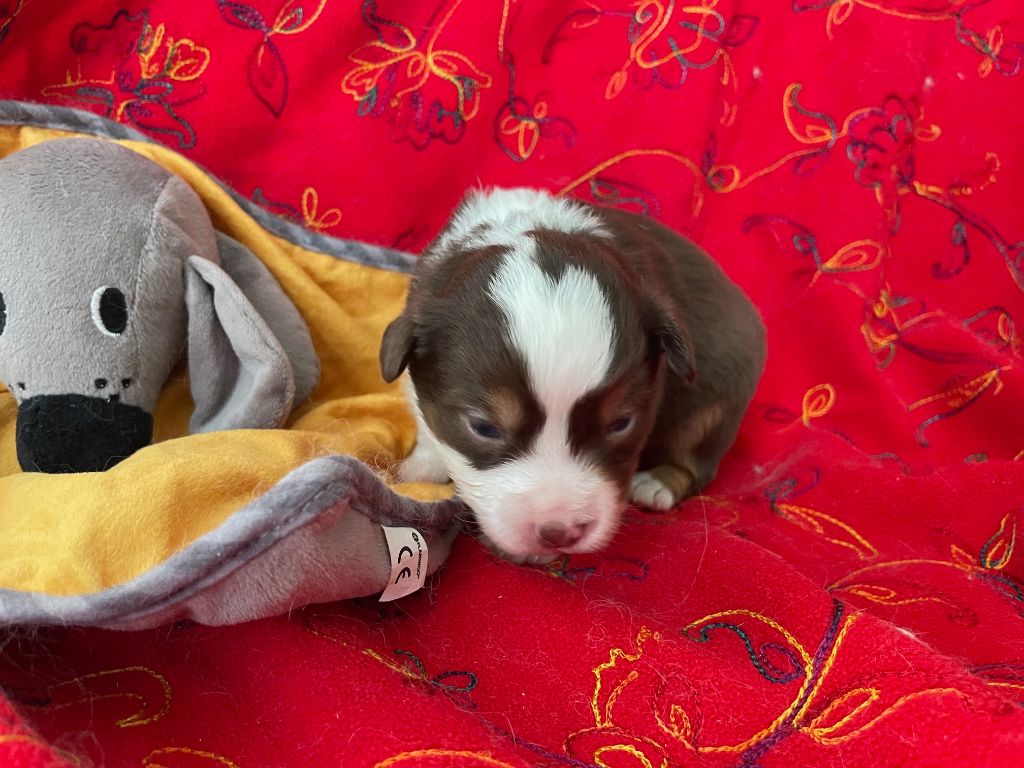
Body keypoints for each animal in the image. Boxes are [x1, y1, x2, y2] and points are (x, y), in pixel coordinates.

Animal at [380, 187, 765, 559]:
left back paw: (656, 484)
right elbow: (428, 425)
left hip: (716, 404)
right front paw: (422, 467)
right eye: (484, 428)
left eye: (621, 424)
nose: (560, 532)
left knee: (696, 462)